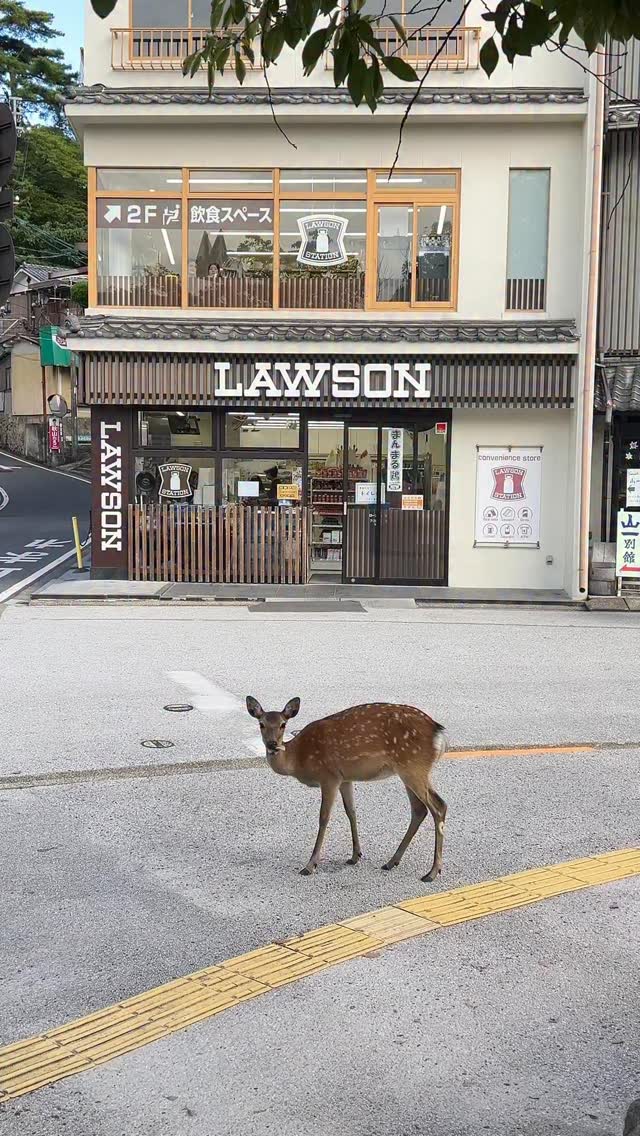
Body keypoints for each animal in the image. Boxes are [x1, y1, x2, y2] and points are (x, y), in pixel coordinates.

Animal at [246, 696, 447, 881]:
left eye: (283, 724)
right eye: (261, 724)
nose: (272, 744)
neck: (299, 759)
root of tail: (438, 732)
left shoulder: (329, 776)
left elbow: (324, 817)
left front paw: (310, 865)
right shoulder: (345, 779)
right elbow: (351, 811)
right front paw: (355, 856)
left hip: (413, 766)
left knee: (439, 806)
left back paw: (432, 872)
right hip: (407, 770)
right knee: (419, 809)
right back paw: (392, 862)